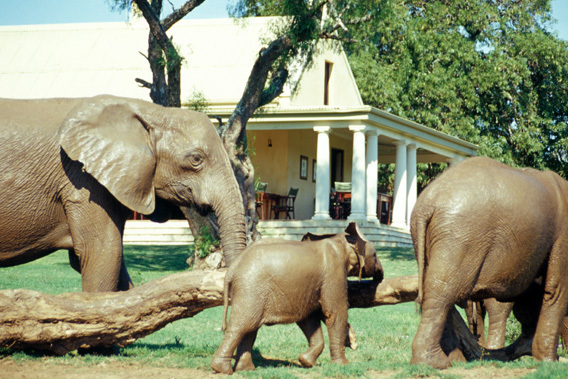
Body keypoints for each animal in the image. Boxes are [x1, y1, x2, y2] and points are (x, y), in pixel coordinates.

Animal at [211, 223, 384, 374]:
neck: (341, 240)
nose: (379, 277)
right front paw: (343, 365)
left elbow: (309, 317)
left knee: (250, 328)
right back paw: (222, 369)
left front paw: (306, 362)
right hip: (251, 288)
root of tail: (232, 269)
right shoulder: (333, 271)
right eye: (375, 255)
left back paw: (246, 370)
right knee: (242, 325)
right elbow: (333, 311)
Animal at [410, 156, 568, 370]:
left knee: (435, 287)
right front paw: (549, 363)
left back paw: (454, 359)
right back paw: (435, 363)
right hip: (461, 236)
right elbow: (555, 290)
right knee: (443, 290)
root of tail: (426, 205)